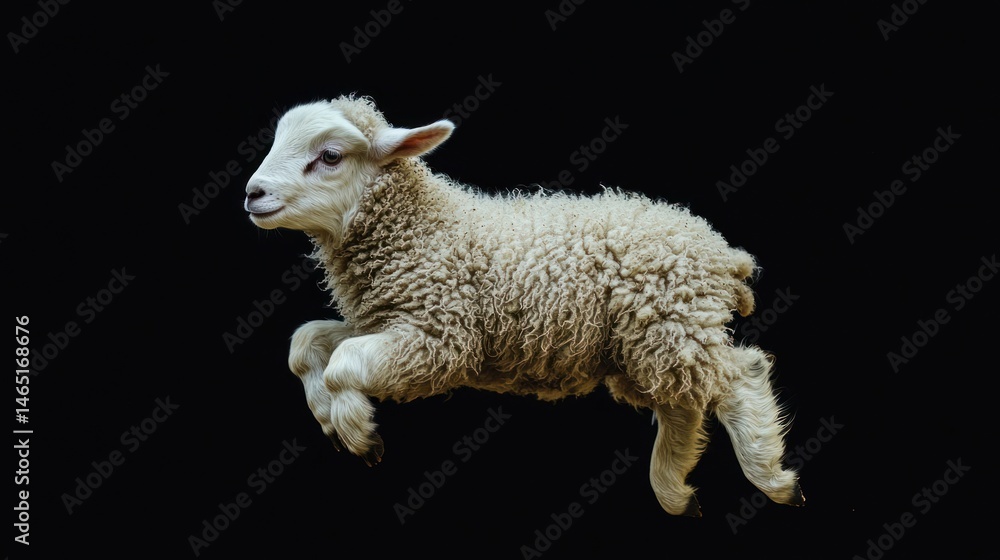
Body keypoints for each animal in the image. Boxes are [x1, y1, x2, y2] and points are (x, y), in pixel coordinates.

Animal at [244, 94, 804, 516]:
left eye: (330, 156)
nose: (253, 193)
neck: (424, 229)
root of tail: (721, 252)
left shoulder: (442, 337)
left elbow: (342, 363)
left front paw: (358, 429)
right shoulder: (386, 321)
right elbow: (306, 345)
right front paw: (333, 417)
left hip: (672, 324)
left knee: (741, 374)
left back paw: (773, 479)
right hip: (649, 343)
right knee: (683, 405)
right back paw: (676, 491)